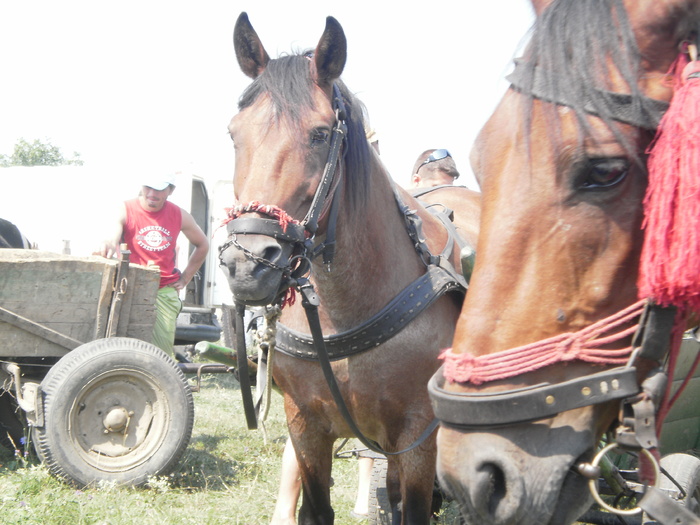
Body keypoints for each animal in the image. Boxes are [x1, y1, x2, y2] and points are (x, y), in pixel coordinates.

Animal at [220, 12, 482, 524]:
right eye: (234, 133)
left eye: (321, 134)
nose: (247, 262)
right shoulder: (306, 426)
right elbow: (317, 509)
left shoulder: (417, 434)